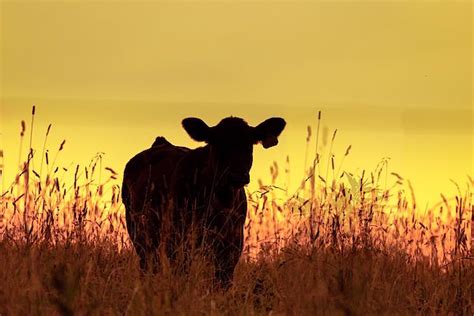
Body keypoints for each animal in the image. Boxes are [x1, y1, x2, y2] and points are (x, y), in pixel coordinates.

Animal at [121, 116, 286, 288]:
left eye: (248, 145)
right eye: (218, 145)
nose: (236, 176)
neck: (222, 200)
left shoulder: (233, 243)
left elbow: (223, 281)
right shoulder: (179, 237)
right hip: (139, 231)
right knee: (149, 263)